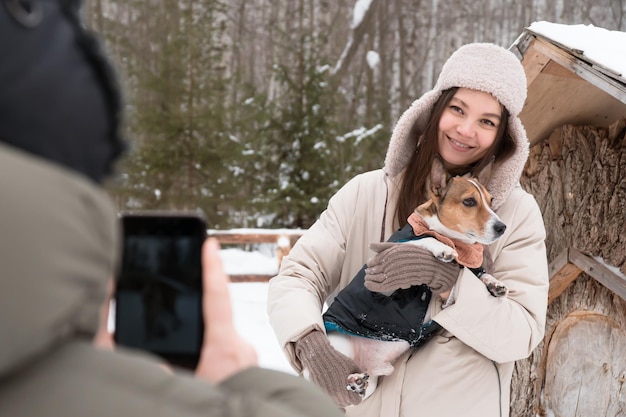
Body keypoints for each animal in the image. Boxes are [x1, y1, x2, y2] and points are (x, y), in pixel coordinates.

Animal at [320, 156, 504, 400]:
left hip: (373, 381)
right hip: (340, 343)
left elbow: (477, 274)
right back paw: (348, 379)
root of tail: (369, 364)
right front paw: (441, 248)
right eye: (469, 202)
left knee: (365, 386)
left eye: (491, 201)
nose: (502, 227)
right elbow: (421, 241)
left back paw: (358, 384)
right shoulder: (383, 267)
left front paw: (494, 283)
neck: (456, 241)